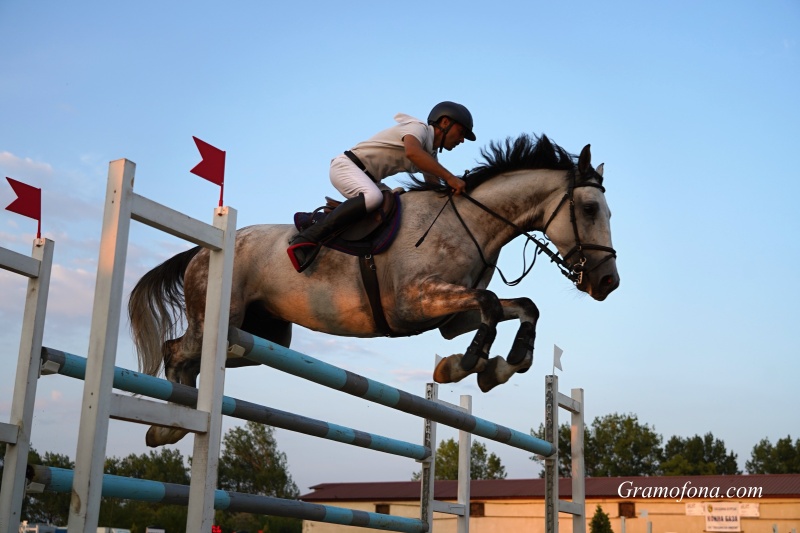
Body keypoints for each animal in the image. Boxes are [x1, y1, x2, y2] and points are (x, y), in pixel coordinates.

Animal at [130, 133, 620, 444]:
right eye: (590, 209)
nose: (608, 283)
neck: (473, 223)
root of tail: (203, 249)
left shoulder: (449, 317)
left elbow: (519, 307)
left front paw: (499, 366)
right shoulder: (415, 300)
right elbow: (491, 305)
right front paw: (465, 365)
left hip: (262, 336)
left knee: (210, 357)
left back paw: (173, 420)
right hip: (218, 317)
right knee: (177, 350)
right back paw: (169, 425)